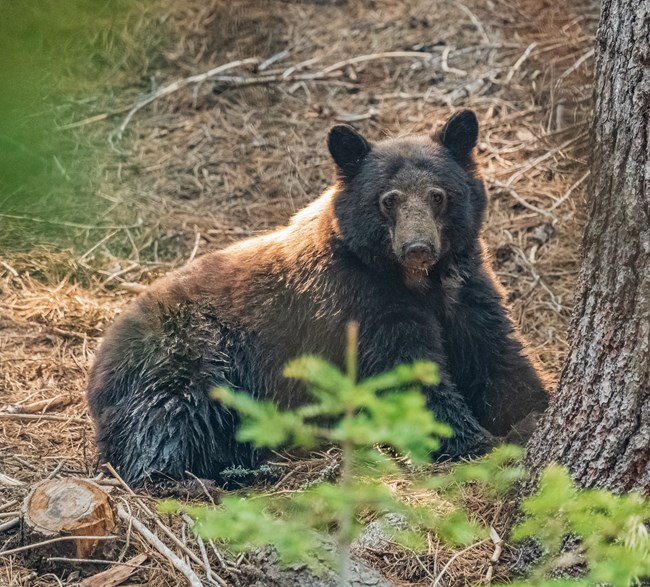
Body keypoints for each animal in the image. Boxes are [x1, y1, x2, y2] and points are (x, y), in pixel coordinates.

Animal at [87, 110, 549, 487]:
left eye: (439, 195)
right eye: (389, 199)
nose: (417, 246)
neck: (416, 282)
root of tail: (99, 362)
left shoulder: (464, 288)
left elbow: (497, 352)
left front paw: (533, 412)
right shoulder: (359, 303)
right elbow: (404, 374)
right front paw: (472, 441)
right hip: (187, 357)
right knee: (171, 419)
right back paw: (189, 476)